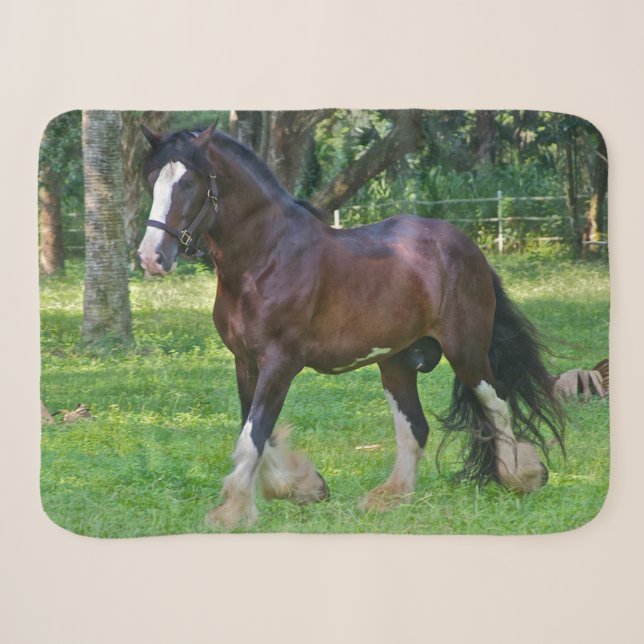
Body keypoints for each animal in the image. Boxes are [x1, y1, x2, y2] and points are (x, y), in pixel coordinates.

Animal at [137, 121, 565, 530]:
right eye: (151, 178)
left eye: (188, 182)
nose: (151, 257)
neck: (267, 258)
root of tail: (467, 246)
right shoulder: (246, 362)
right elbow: (256, 430)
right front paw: (303, 486)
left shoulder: (280, 363)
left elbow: (253, 435)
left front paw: (233, 511)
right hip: (397, 363)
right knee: (416, 428)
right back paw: (389, 498)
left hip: (467, 351)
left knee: (497, 405)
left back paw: (522, 475)